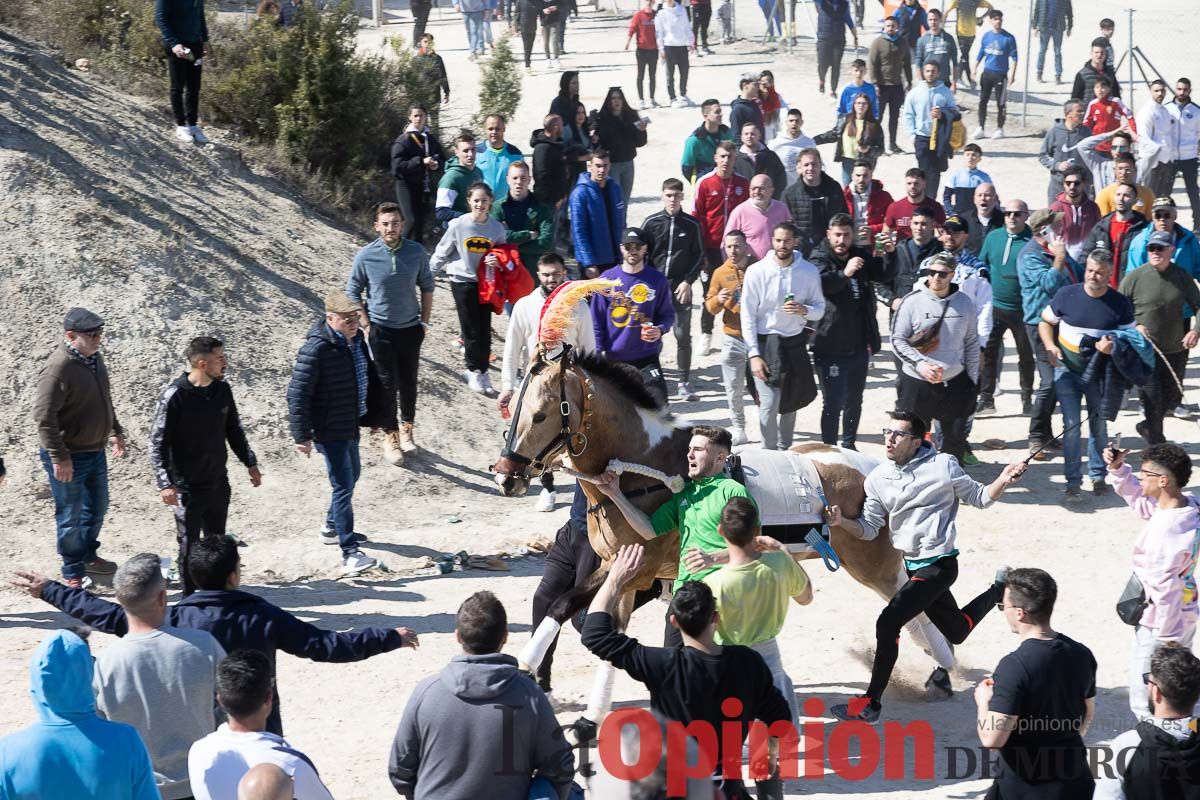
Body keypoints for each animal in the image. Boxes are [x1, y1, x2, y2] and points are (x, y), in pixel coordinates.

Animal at [489, 283, 955, 734]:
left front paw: (589, 719)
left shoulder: (638, 570)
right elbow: (561, 606)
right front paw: (527, 667)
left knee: (909, 608)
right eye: (513, 409)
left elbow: (607, 632)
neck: (643, 471)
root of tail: (875, 469)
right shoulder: (615, 563)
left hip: (872, 564)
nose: (506, 475)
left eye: (542, 414)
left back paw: (943, 667)